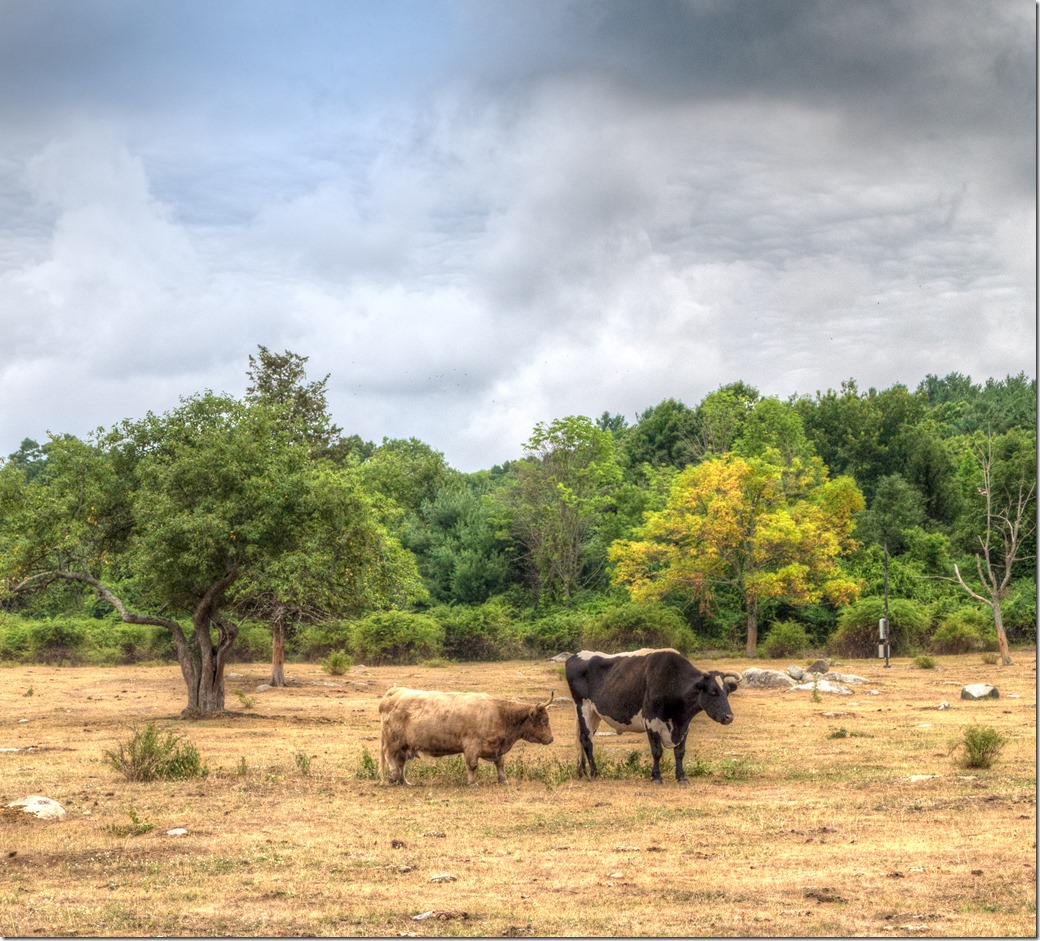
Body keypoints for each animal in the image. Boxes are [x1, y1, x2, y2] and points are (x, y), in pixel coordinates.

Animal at [379, 687, 554, 786]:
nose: (551, 739)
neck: (499, 713)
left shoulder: (495, 748)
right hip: (393, 741)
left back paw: (405, 782)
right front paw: (472, 782)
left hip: (405, 745)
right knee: (390, 758)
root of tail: (395, 693)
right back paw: (393, 777)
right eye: (544, 720)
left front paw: (503, 780)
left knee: (401, 762)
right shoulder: (472, 745)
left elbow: (500, 764)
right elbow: (472, 765)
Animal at [565, 648, 740, 785]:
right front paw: (656, 777)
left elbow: (680, 752)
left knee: (582, 738)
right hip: (583, 707)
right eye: (712, 691)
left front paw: (682, 777)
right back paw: (594, 772)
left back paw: (582, 772)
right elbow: (657, 751)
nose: (729, 717)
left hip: (595, 714)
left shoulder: (684, 725)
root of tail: (575, 656)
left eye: (727, 691)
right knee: (587, 740)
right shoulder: (651, 721)